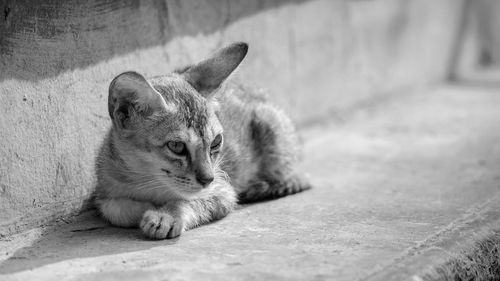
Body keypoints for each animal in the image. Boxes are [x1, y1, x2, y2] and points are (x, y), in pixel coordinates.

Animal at [95, 42, 310, 238]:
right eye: (176, 146)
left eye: (216, 142)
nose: (208, 179)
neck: (148, 181)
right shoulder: (104, 191)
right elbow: (115, 209)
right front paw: (146, 208)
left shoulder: (224, 191)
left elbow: (188, 200)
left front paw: (166, 215)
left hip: (271, 128)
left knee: (299, 178)